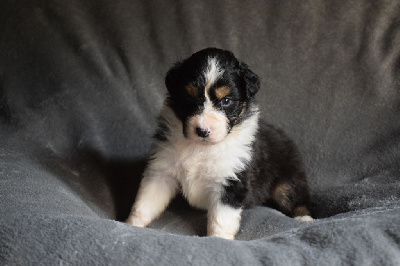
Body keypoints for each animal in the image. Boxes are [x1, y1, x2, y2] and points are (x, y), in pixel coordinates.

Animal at [126, 48, 314, 241]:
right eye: (189, 97)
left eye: (226, 101)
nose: (202, 131)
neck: (201, 147)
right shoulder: (162, 171)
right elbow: (144, 203)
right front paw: (131, 225)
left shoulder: (230, 181)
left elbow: (221, 219)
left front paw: (218, 240)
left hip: (287, 181)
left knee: (297, 198)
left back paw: (304, 219)